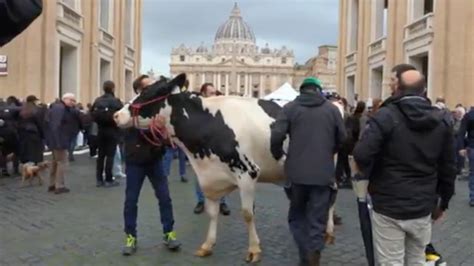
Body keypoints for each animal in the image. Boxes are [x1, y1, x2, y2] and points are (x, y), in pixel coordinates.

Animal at [115, 74, 344, 262]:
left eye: (148, 92)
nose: (116, 115)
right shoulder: (211, 178)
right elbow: (212, 213)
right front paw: (207, 245)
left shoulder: (248, 173)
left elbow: (247, 214)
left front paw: (254, 250)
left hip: (328, 169)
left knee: (332, 196)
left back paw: (329, 231)